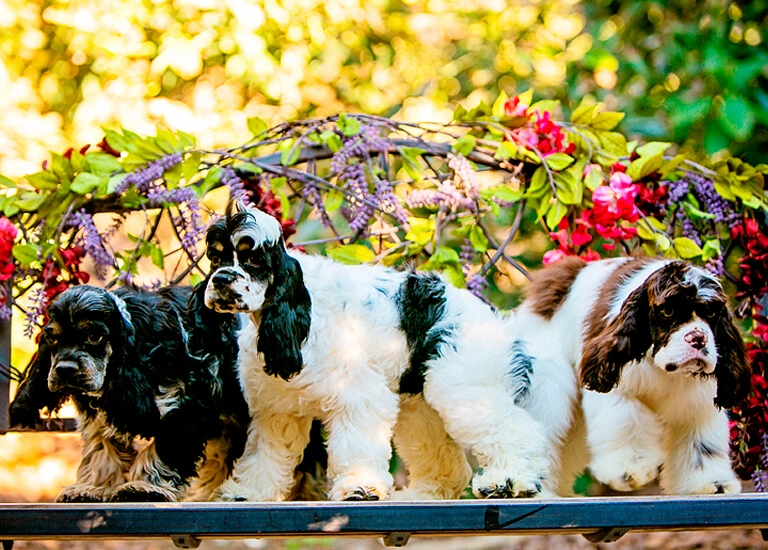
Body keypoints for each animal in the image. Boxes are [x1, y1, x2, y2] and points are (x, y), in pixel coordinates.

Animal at [9, 284, 249, 504]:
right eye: (53, 339)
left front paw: (145, 487)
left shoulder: (186, 407)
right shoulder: (98, 415)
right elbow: (102, 451)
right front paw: (93, 488)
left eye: (94, 336)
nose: (65, 369)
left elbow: (163, 449)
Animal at [200, 205, 544, 502]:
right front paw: (248, 493)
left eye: (254, 260)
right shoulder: (277, 409)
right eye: (215, 258)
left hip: (464, 387)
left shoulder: (356, 394)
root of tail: (494, 318)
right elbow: (265, 454)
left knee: (512, 429)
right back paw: (422, 495)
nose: (221, 279)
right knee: (448, 463)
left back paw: (510, 481)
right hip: (420, 408)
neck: (299, 314)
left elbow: (357, 445)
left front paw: (360, 488)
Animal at [516, 256, 752, 498]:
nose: (698, 337)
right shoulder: (618, 389)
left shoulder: (699, 404)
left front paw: (708, 485)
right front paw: (630, 470)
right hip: (548, 387)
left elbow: (701, 447)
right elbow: (627, 424)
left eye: (711, 313)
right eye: (668, 311)